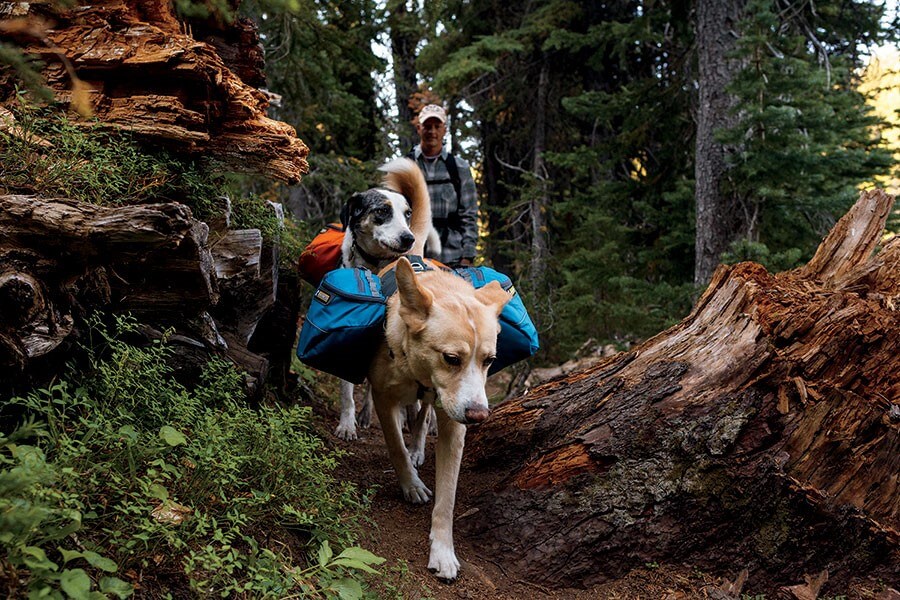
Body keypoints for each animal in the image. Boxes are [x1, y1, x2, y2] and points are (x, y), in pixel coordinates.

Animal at [334, 158, 440, 440]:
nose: (408, 238)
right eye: (382, 211)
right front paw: (347, 424)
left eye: (407, 214)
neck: (374, 266)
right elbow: (348, 390)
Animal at [370, 254, 510, 580]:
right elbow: (395, 445)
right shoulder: (382, 396)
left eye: (490, 360)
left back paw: (418, 447)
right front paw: (411, 484)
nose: (479, 415)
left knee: (422, 418)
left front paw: (443, 551)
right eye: (451, 358)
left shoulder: (454, 426)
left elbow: (447, 497)